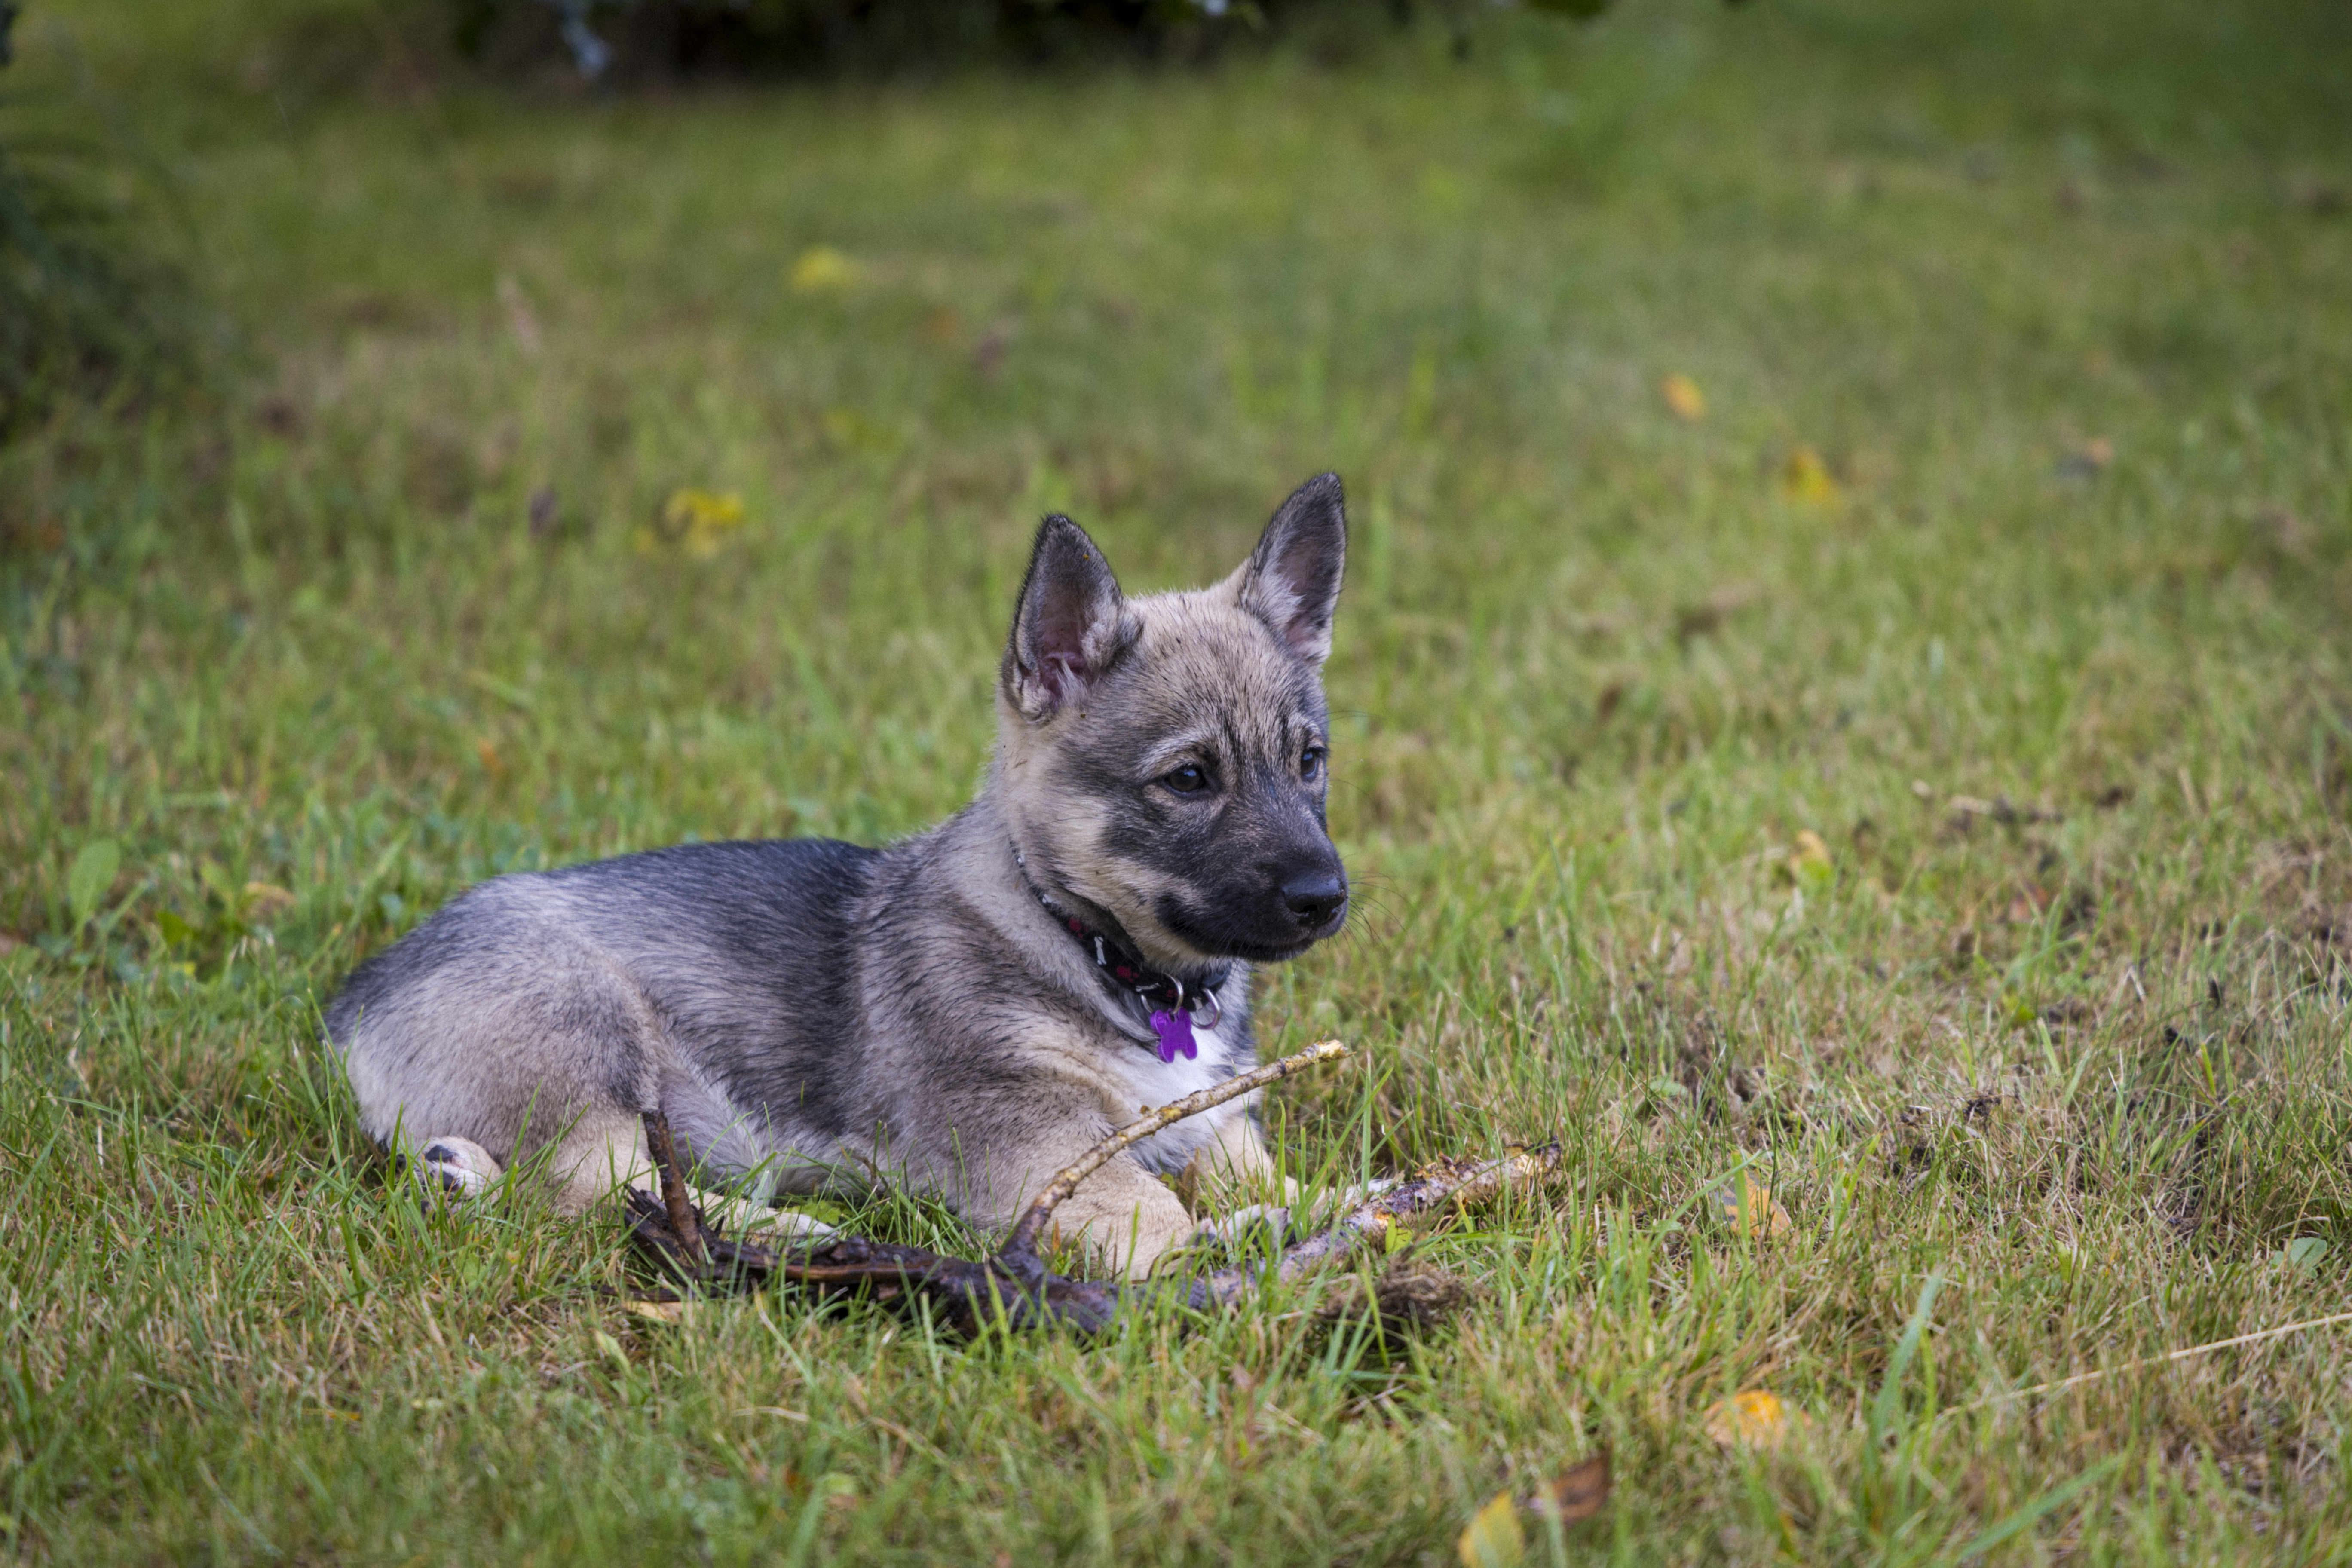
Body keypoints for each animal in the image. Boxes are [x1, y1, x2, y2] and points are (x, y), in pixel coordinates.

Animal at [334, 475, 1364, 1279]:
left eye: (1309, 760)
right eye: (1188, 779)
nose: (1327, 900)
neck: (1094, 949)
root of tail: (351, 1008)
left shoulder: (1216, 1125)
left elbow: (1268, 1177)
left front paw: (1342, 1204)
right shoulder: (1040, 1147)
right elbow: (1155, 1222)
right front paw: (1240, 1244)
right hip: (586, 1043)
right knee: (602, 1191)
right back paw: (794, 1234)